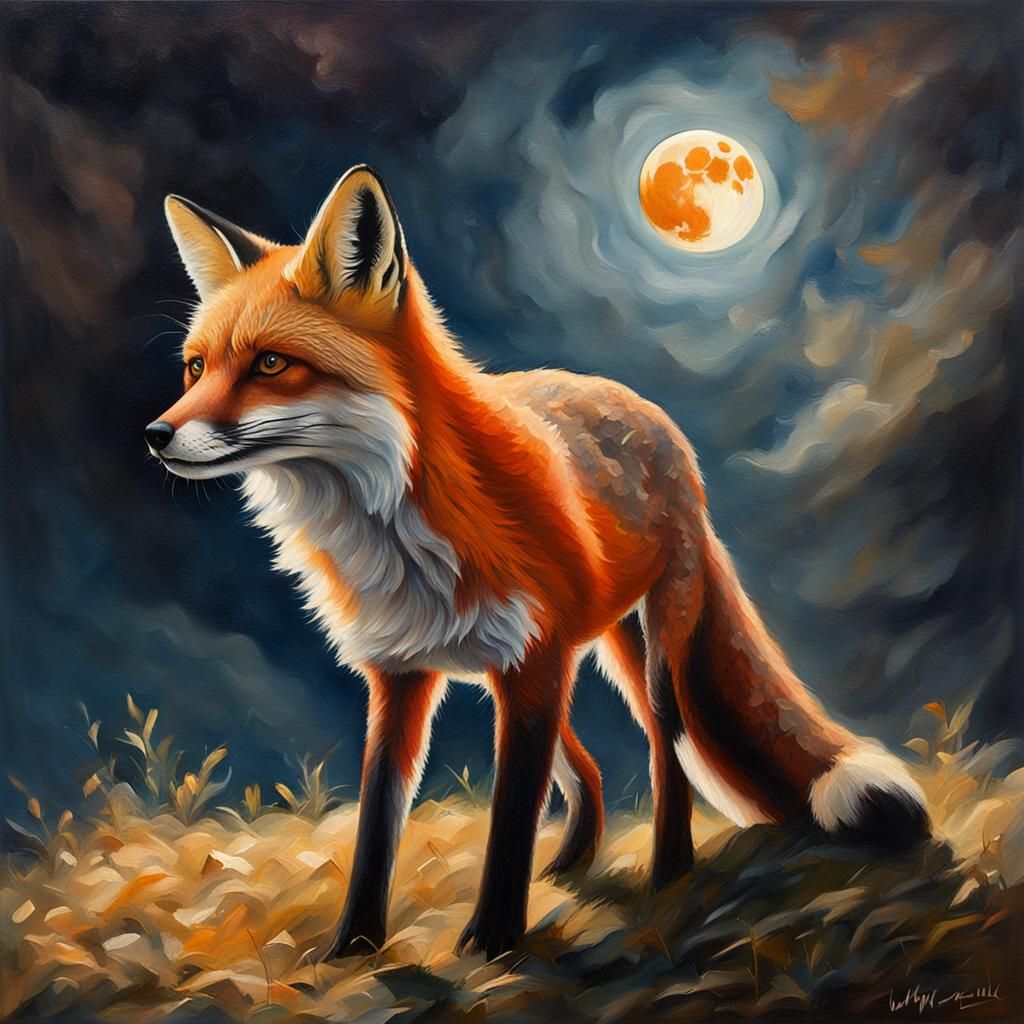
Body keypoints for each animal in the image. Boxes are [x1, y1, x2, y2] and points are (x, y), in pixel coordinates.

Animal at [147, 164, 929, 960]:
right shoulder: (404, 673)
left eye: (271, 364)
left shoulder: (531, 662)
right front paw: (355, 947)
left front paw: (493, 940)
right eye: (195, 368)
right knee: (586, 768)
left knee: (666, 753)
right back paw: (571, 865)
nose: (156, 435)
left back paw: (669, 873)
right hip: (561, 656)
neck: (397, 527)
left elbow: (511, 820)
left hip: (641, 654)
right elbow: (377, 826)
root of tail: (642, 406)